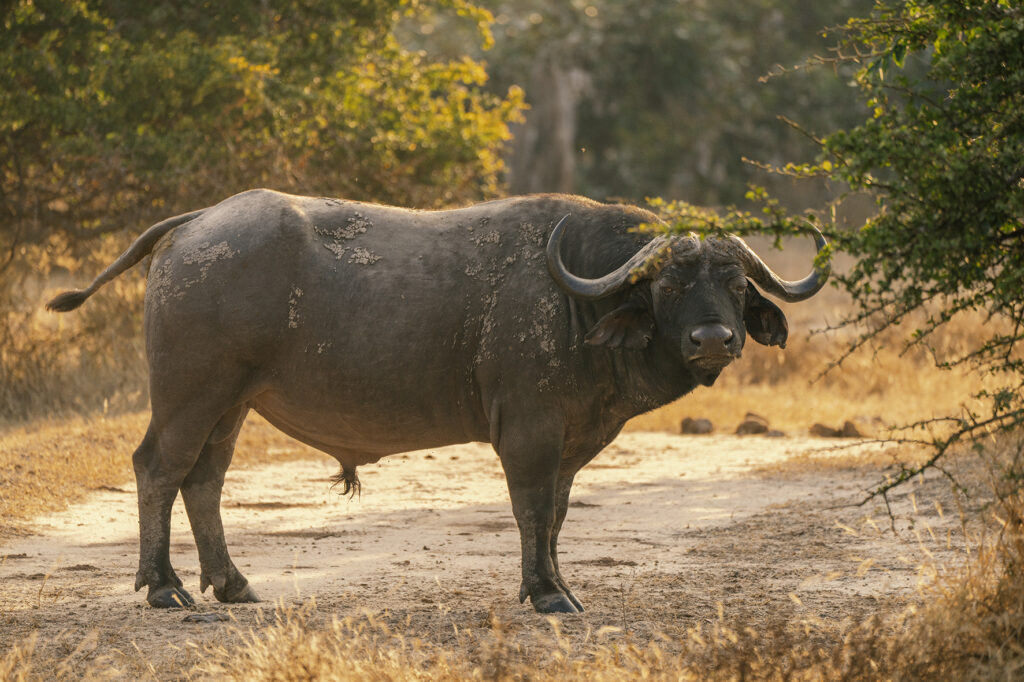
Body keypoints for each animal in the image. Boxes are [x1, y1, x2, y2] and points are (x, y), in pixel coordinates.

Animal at [47, 190, 827, 613]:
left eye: (734, 284)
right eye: (669, 284)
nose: (713, 338)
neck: (577, 300)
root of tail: (199, 222)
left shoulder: (572, 443)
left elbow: (557, 516)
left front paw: (558, 584)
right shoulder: (529, 434)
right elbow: (531, 511)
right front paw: (545, 594)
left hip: (233, 401)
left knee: (203, 480)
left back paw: (232, 585)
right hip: (191, 392)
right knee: (158, 469)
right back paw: (163, 588)